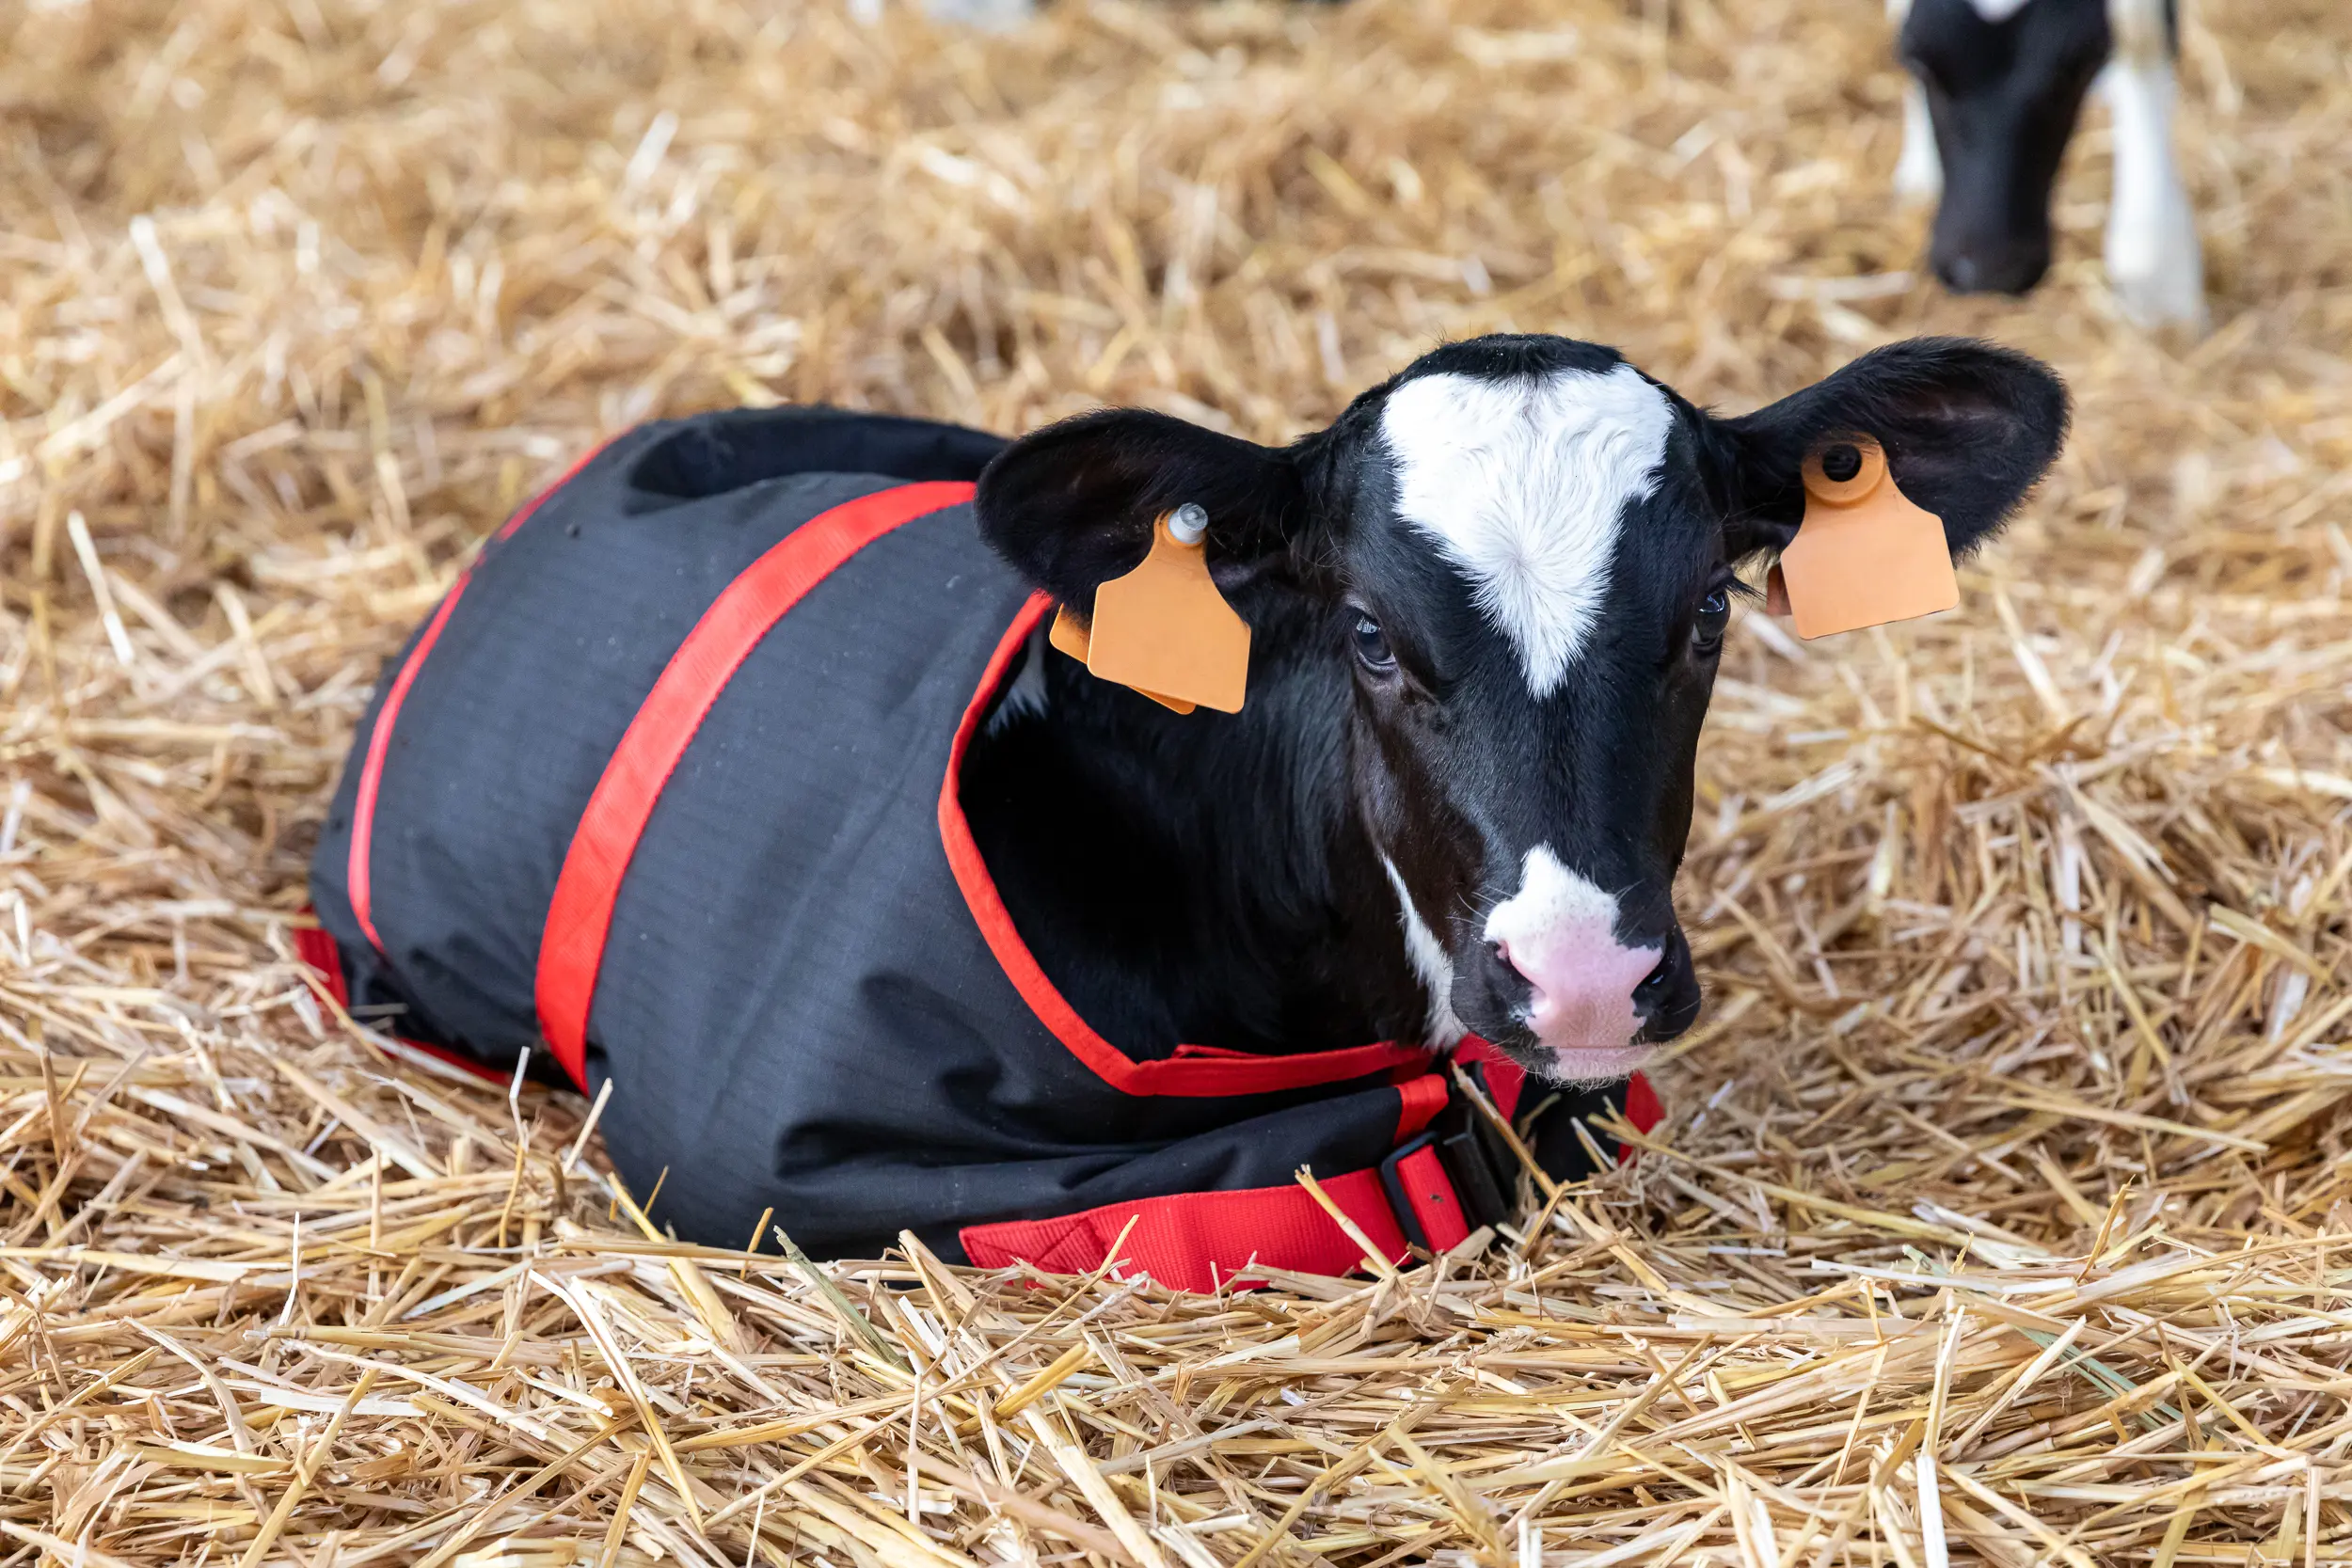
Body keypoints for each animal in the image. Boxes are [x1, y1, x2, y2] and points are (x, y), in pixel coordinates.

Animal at [1891, 0, 2206, 329]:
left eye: (2081, 63)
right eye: (1916, 61)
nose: (1990, 273)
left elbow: (2145, 35)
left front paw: (2157, 270)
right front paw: (1919, 173)